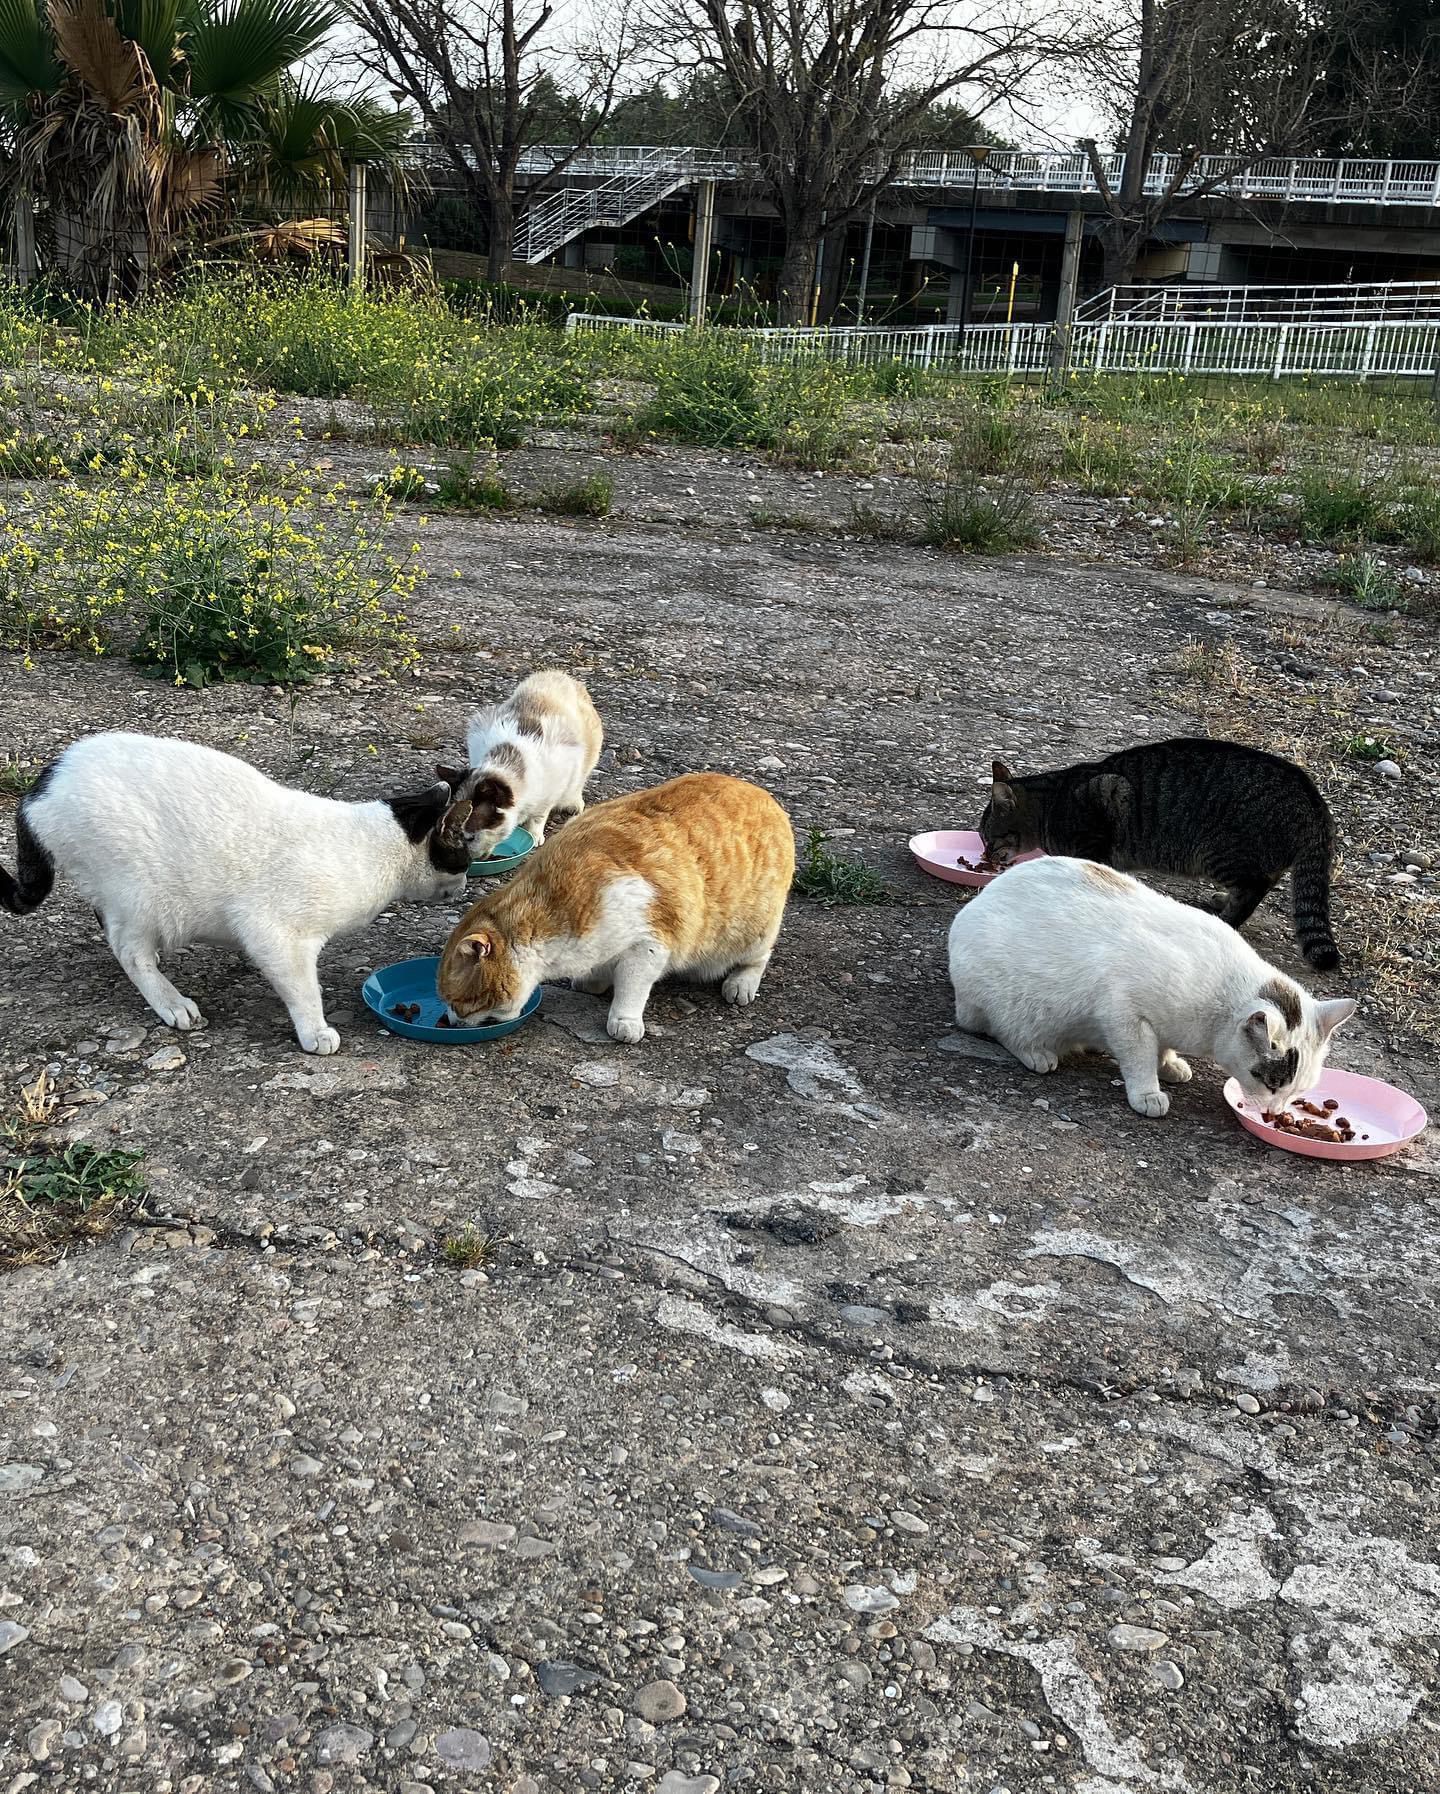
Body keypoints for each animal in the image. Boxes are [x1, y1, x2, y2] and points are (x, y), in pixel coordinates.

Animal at [1, 735, 473, 1054]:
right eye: (465, 853)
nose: (467, 882)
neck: (374, 846)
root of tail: (45, 780)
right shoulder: (275, 934)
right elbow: (304, 990)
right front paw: (315, 1031)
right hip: (141, 895)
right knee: (129, 951)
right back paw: (172, 1003)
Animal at [442, 767, 792, 1047]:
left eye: (459, 1003)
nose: (450, 1022)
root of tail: (762, 794)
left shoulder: (650, 944)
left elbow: (631, 985)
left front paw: (624, 1020)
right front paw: (594, 980)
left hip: (749, 932)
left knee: (758, 957)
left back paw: (741, 984)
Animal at [444, 670, 609, 857]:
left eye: (470, 837)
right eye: (455, 835)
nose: (466, 859)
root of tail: (556, 673)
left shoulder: (554, 785)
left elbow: (538, 817)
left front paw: (534, 835)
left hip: (588, 755)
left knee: (578, 783)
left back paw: (573, 804)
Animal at [954, 846, 1355, 1112]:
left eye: (1297, 1092)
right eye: (1270, 1083)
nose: (1274, 1114)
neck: (1218, 1014)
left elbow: (1162, 1049)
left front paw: (1171, 1063)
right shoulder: (1124, 1013)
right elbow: (1140, 1057)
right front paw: (1148, 1091)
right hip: (1012, 1004)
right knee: (1000, 1030)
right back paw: (1036, 1052)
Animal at [982, 739, 1341, 975]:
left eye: (987, 836)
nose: (985, 855)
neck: (1052, 803)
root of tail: (1314, 801)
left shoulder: (1102, 817)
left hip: (1219, 852)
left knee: (1254, 888)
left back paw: (1226, 917)